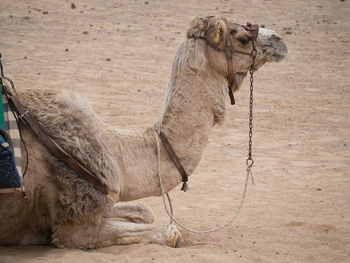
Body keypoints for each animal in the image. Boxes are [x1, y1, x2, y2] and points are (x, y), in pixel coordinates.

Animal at [0, 17, 288, 250]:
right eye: (241, 36)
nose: (280, 39)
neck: (115, 150)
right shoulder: (74, 220)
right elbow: (171, 232)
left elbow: (144, 209)